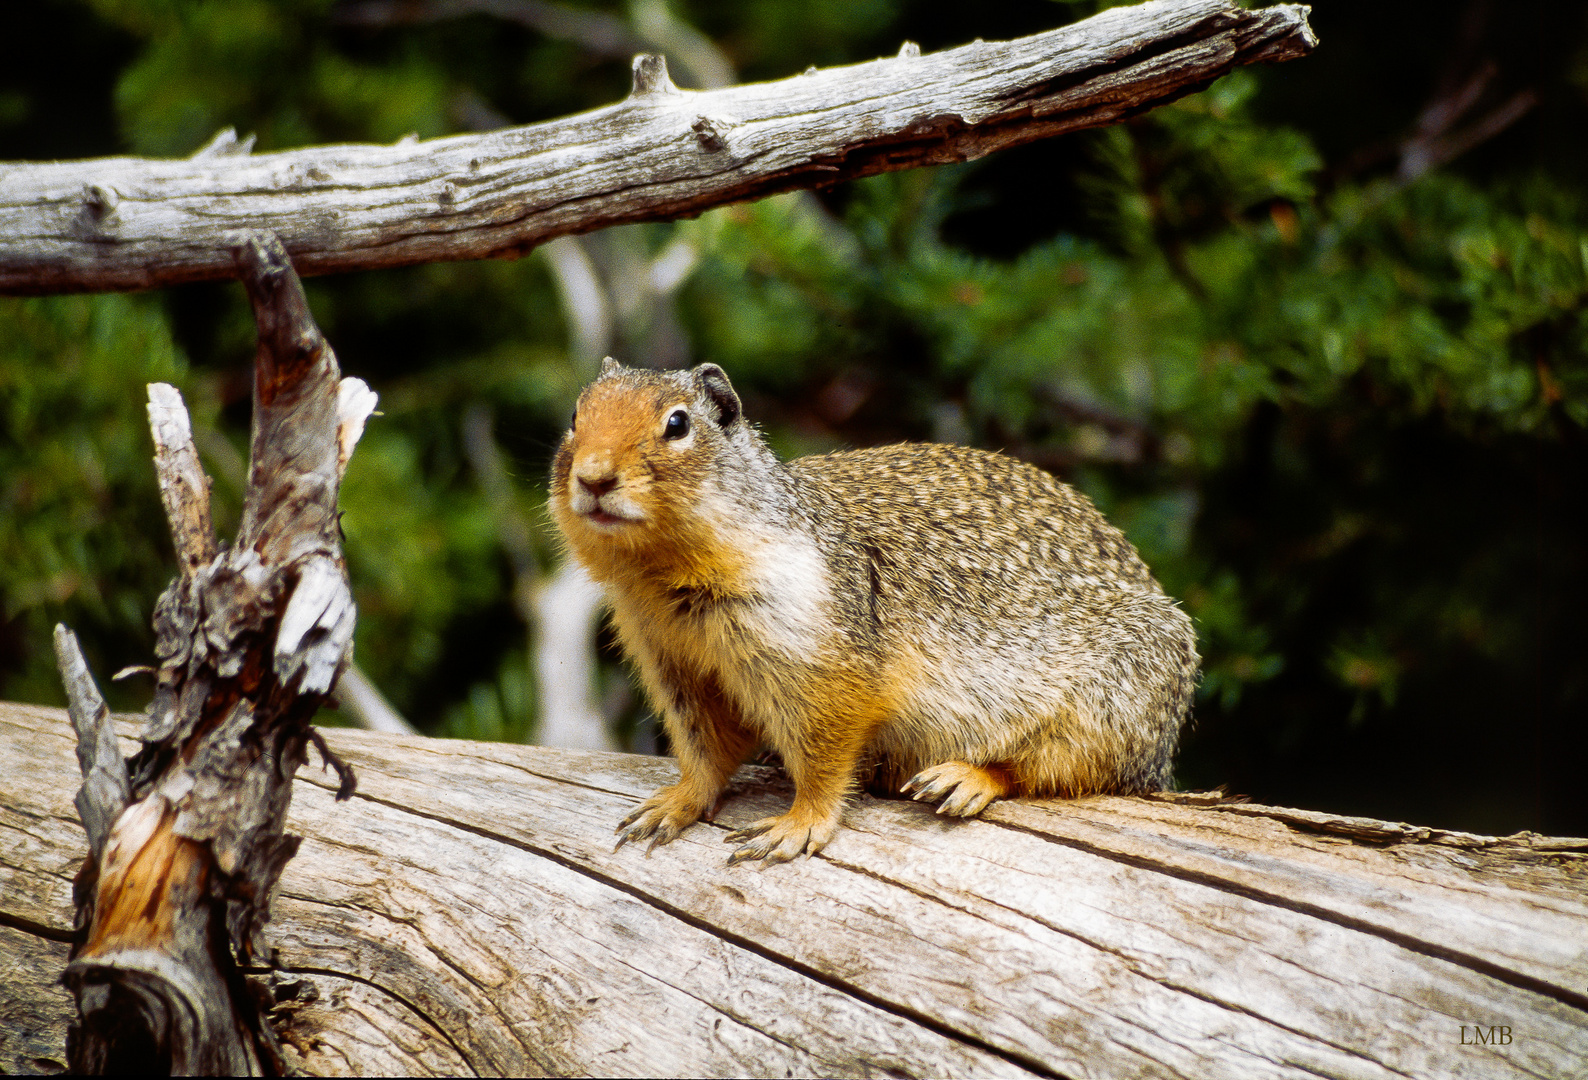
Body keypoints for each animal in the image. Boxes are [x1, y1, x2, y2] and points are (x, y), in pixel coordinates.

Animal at [552, 358, 1194, 864]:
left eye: (678, 424)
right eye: (576, 417)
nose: (594, 477)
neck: (662, 582)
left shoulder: (821, 661)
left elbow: (823, 756)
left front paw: (797, 825)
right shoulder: (672, 663)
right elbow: (705, 752)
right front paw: (670, 805)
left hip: (1112, 704)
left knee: (1061, 773)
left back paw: (963, 778)